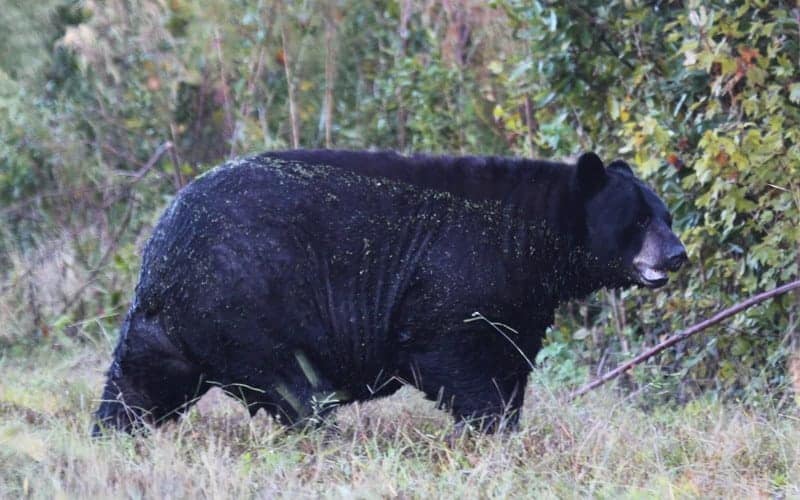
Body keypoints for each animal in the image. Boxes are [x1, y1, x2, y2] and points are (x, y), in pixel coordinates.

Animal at [93, 150, 686, 435]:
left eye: (667, 216)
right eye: (638, 221)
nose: (677, 255)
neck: (530, 241)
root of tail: (161, 250)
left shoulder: (520, 303)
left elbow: (511, 359)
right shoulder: (456, 276)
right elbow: (454, 359)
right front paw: (493, 435)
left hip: (169, 324)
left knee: (137, 385)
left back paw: (113, 434)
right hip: (246, 302)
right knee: (297, 393)